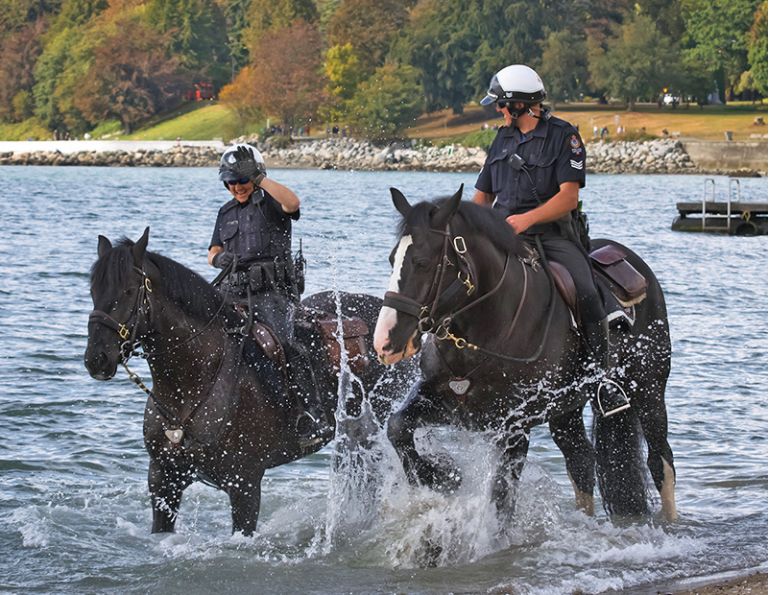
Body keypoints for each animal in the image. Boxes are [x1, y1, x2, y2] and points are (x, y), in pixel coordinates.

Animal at [84, 227, 416, 536]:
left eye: (129, 290)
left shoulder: (244, 484)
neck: (192, 387)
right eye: (93, 290)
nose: (96, 358)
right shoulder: (163, 479)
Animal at [373, 186, 676, 522]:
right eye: (392, 259)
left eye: (423, 262)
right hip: (566, 410)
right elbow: (397, 426)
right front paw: (437, 476)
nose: (384, 341)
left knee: (660, 460)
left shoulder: (515, 424)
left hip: (649, 389)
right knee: (581, 461)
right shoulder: (444, 401)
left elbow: (501, 498)